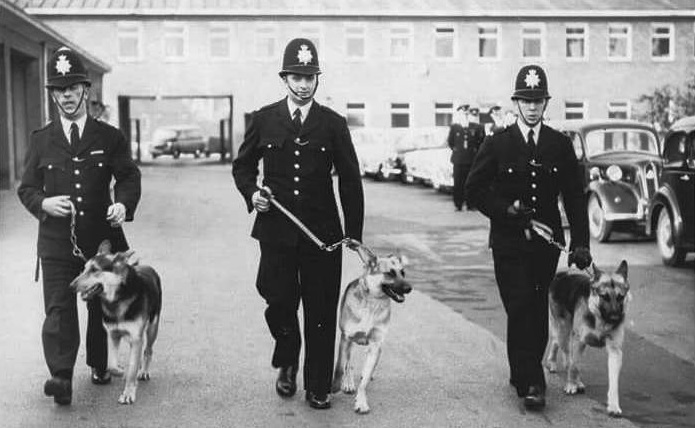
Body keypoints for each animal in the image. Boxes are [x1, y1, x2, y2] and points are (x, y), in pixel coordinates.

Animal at [71, 241, 163, 404]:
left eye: (94, 270)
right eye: (84, 268)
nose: (71, 286)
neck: (117, 299)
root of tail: (148, 267)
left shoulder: (136, 339)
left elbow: (133, 368)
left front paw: (128, 393)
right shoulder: (112, 335)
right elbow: (111, 365)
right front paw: (122, 372)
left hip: (152, 327)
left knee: (148, 350)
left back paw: (144, 371)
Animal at [330, 246, 410, 412]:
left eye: (403, 273)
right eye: (390, 273)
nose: (409, 288)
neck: (373, 302)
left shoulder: (375, 344)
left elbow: (365, 381)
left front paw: (361, 401)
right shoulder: (346, 338)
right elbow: (341, 366)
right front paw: (336, 386)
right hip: (349, 342)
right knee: (348, 363)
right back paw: (347, 383)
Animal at [548, 260, 632, 416]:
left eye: (620, 297)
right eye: (604, 296)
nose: (615, 319)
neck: (599, 318)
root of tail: (562, 275)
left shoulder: (615, 352)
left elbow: (614, 382)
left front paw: (613, 405)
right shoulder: (578, 341)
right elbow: (574, 366)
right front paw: (571, 385)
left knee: (559, 345)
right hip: (564, 331)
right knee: (564, 350)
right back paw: (554, 364)